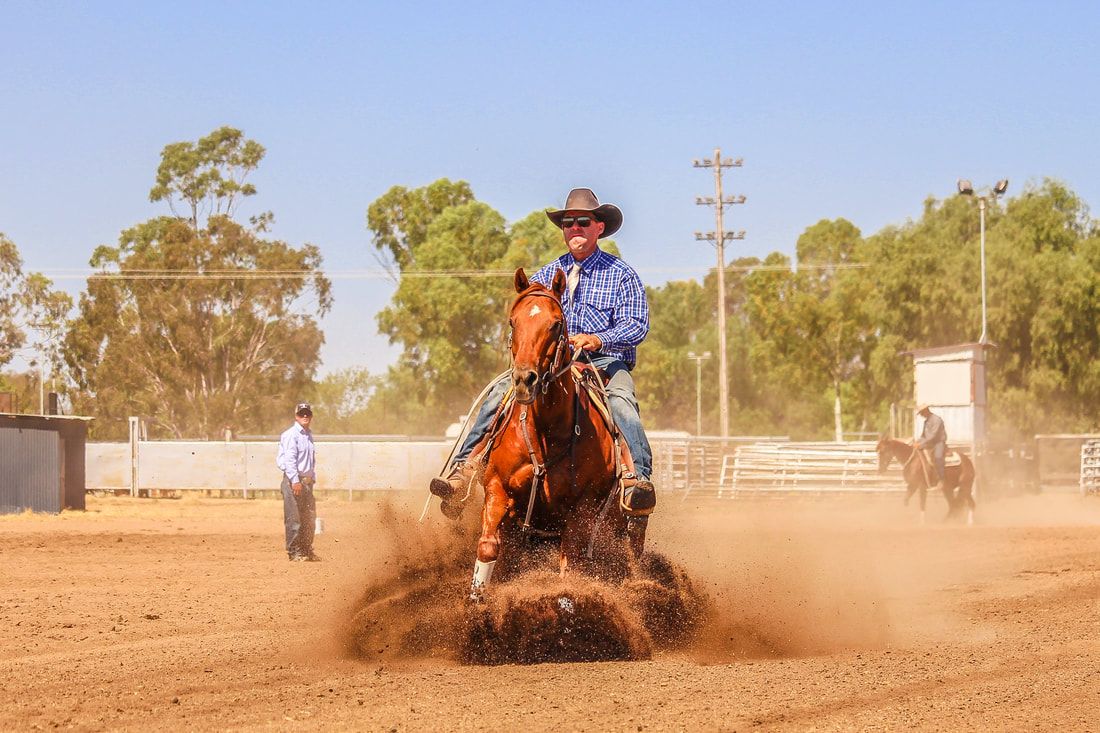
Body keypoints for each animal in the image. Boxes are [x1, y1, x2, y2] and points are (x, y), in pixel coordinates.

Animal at [466, 268, 638, 598]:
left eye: (556, 323)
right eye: (513, 321)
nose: (524, 380)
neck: (546, 432)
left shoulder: (580, 511)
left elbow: (567, 573)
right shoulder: (497, 489)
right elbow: (487, 548)